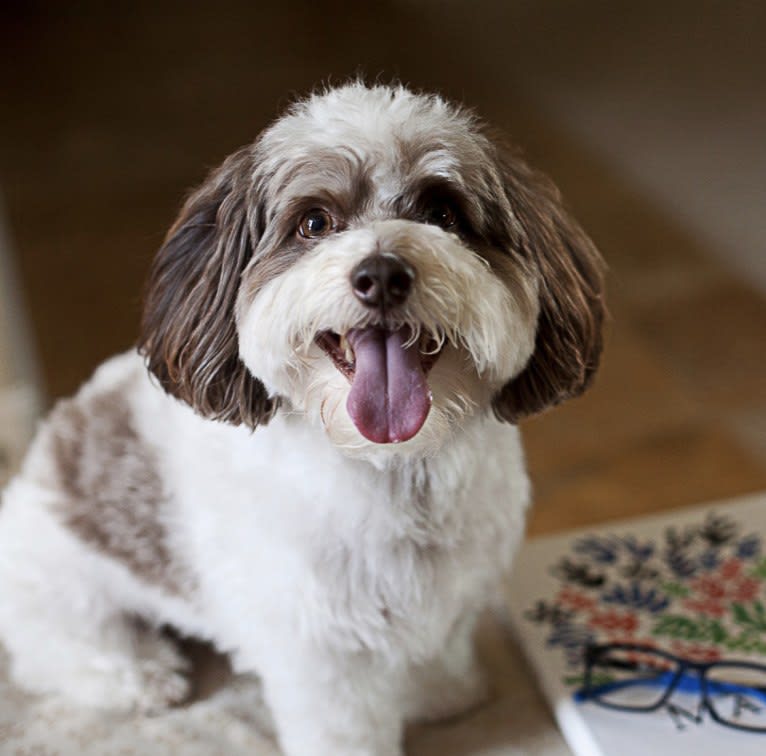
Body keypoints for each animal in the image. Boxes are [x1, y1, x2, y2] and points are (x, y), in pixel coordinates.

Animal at [0, 82, 608, 756]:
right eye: (314, 222)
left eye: (443, 213)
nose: (382, 273)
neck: (393, 466)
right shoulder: (321, 647)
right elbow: (344, 725)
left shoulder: (451, 599)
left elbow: (436, 655)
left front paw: (445, 699)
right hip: (64, 593)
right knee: (62, 650)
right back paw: (141, 675)